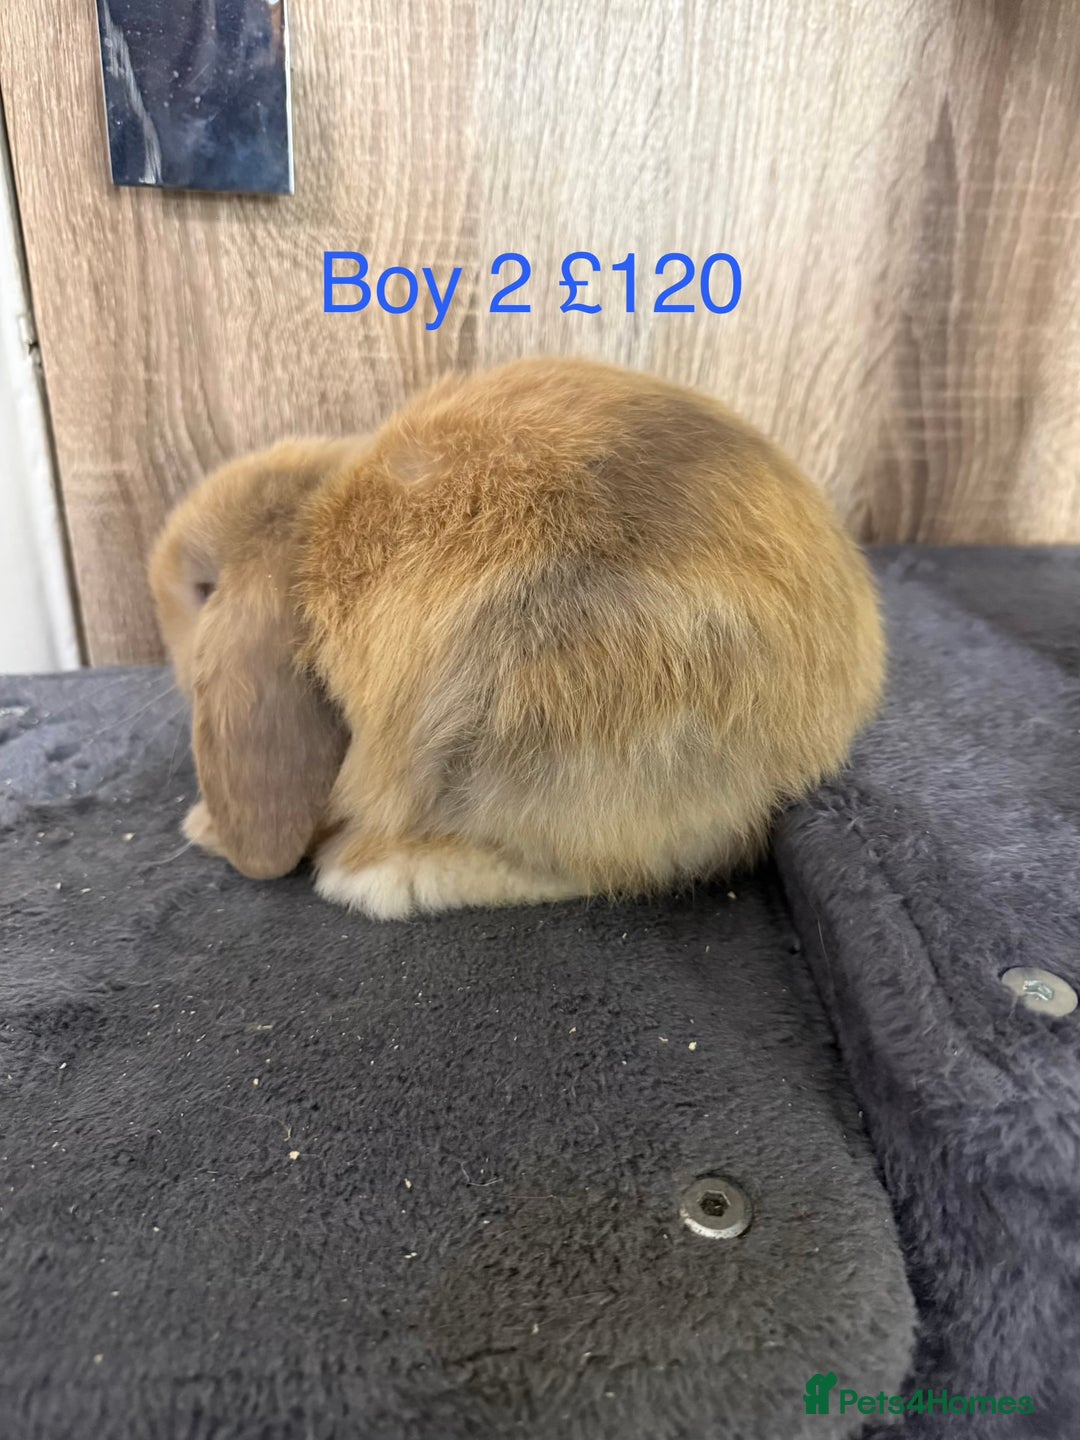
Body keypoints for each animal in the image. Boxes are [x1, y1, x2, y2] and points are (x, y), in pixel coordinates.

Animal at [149, 357, 884, 919]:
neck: (307, 522)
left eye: (202, 588)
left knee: (599, 867)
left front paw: (203, 828)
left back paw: (381, 875)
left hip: (532, 720)